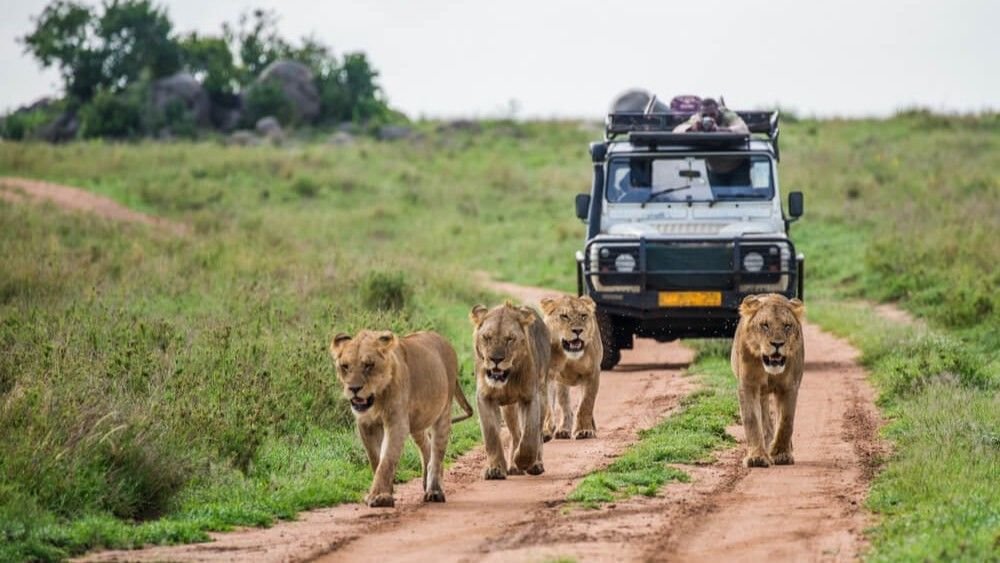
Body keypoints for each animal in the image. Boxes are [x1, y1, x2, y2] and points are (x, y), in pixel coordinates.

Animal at [330, 330, 473, 507]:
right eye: (345, 366)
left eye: (369, 365)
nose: (354, 388)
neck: (377, 398)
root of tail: (443, 340)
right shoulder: (365, 424)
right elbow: (375, 459)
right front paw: (386, 493)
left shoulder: (397, 423)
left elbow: (387, 460)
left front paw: (379, 496)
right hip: (417, 422)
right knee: (426, 446)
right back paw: (427, 482)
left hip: (443, 413)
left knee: (437, 453)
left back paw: (434, 491)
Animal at [469, 302, 551, 479]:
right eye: (487, 337)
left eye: (509, 339)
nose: (496, 359)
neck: (507, 380)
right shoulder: (484, 397)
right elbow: (491, 435)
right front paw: (495, 469)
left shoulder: (530, 398)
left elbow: (530, 435)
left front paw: (524, 461)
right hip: (509, 408)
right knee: (515, 433)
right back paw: (513, 467)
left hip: (542, 396)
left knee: (538, 434)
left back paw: (534, 464)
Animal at [540, 295, 602, 441]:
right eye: (564, 316)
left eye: (583, 315)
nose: (578, 330)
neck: (568, 356)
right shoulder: (547, 376)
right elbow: (547, 405)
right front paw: (546, 431)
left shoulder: (592, 374)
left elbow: (586, 404)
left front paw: (584, 430)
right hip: (561, 384)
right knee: (565, 406)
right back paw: (563, 430)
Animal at [731, 293, 805, 468]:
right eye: (764, 325)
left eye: (787, 326)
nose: (777, 344)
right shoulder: (748, 385)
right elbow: (752, 420)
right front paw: (757, 457)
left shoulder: (789, 387)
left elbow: (786, 421)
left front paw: (781, 454)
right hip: (761, 393)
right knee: (764, 417)